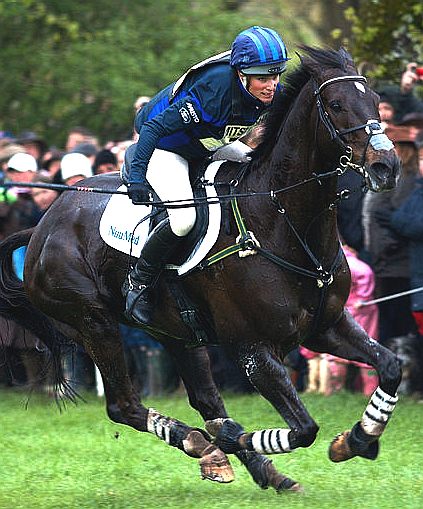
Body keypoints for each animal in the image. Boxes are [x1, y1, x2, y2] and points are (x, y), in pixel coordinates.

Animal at [0, 45, 400, 490]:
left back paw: (248, 465)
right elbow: (303, 428)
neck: (280, 217)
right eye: (336, 105)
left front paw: (358, 438)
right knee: (125, 405)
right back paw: (201, 443)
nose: (386, 166)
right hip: (94, 321)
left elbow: (390, 366)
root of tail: (43, 225)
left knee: (205, 398)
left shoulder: (325, 327)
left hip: (176, 330)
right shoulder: (254, 350)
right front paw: (230, 436)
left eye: (376, 99)